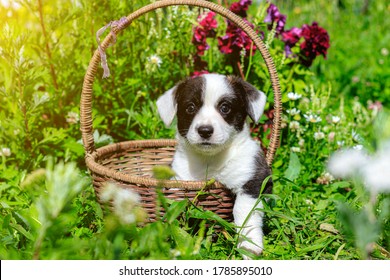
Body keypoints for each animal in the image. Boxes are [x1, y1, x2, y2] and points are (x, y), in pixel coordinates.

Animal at [155, 73, 272, 258]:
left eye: (225, 108)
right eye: (190, 108)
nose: (205, 130)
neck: (209, 160)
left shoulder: (254, 179)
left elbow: (243, 210)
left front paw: (249, 245)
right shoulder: (179, 178)